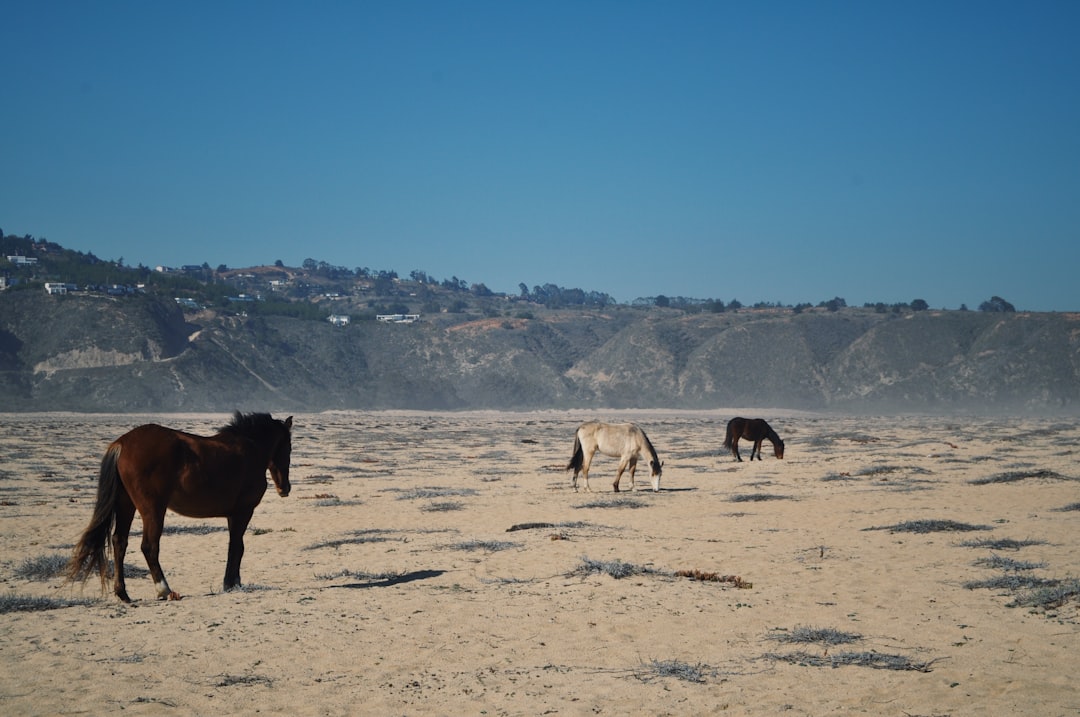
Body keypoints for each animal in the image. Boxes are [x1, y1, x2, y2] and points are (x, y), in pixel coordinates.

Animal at [69, 412, 293, 600]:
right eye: (289, 448)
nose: (285, 488)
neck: (251, 449)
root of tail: (121, 444)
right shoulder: (243, 512)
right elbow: (237, 546)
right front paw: (232, 583)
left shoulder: (233, 515)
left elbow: (234, 545)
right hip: (153, 509)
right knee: (149, 546)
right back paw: (165, 590)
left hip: (126, 505)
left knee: (119, 541)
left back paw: (123, 593)